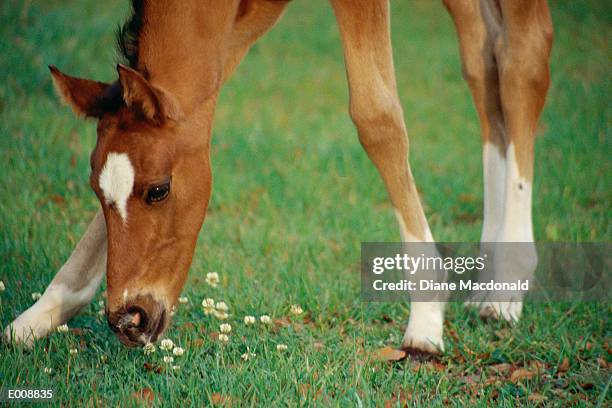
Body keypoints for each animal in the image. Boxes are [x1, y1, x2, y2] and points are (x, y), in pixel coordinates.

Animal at [4, 0, 552, 352]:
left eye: (159, 190)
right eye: (97, 194)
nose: (129, 319)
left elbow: (376, 117)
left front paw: (426, 313)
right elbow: (203, 91)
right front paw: (43, 312)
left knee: (523, 56)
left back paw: (508, 283)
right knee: (483, 57)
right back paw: (489, 268)